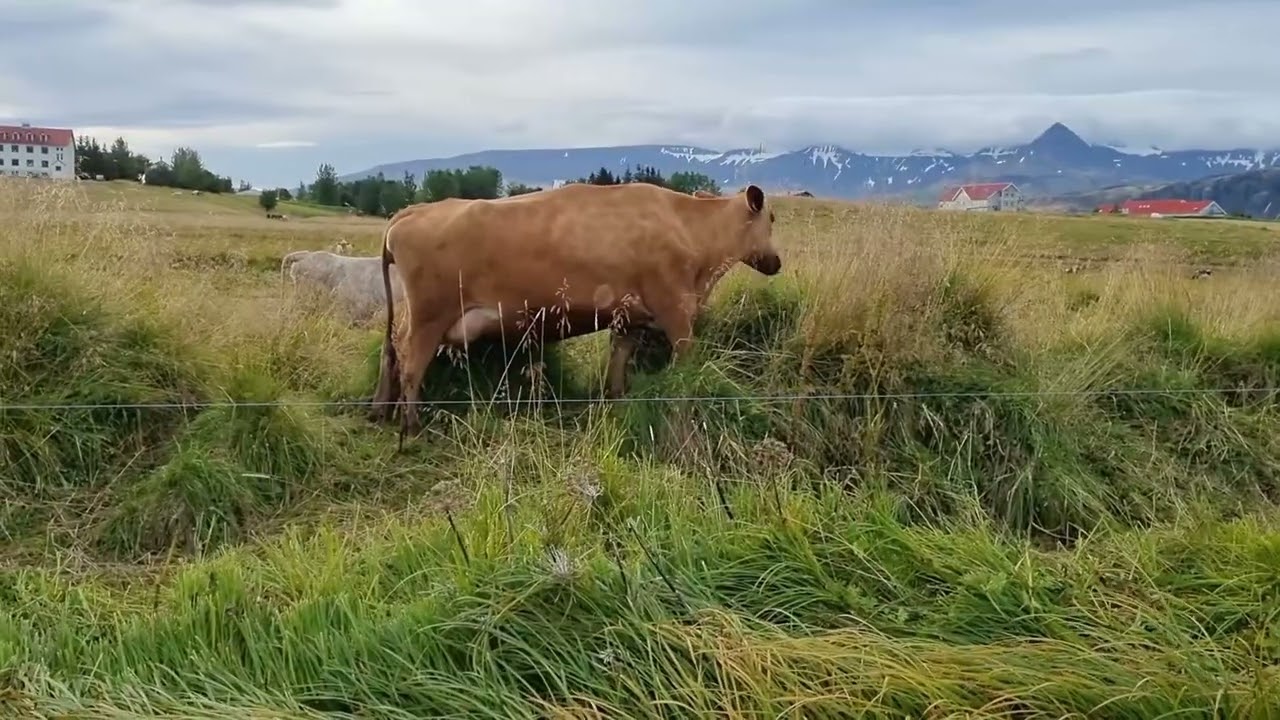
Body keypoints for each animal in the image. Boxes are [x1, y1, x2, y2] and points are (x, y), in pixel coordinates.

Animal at [368, 181, 783, 444]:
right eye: (772, 219)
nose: (776, 261)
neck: (689, 226)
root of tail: (413, 211)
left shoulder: (628, 318)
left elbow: (618, 364)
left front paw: (617, 402)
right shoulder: (676, 311)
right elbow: (686, 365)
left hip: (413, 316)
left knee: (391, 351)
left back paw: (380, 412)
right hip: (429, 317)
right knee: (411, 364)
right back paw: (412, 425)